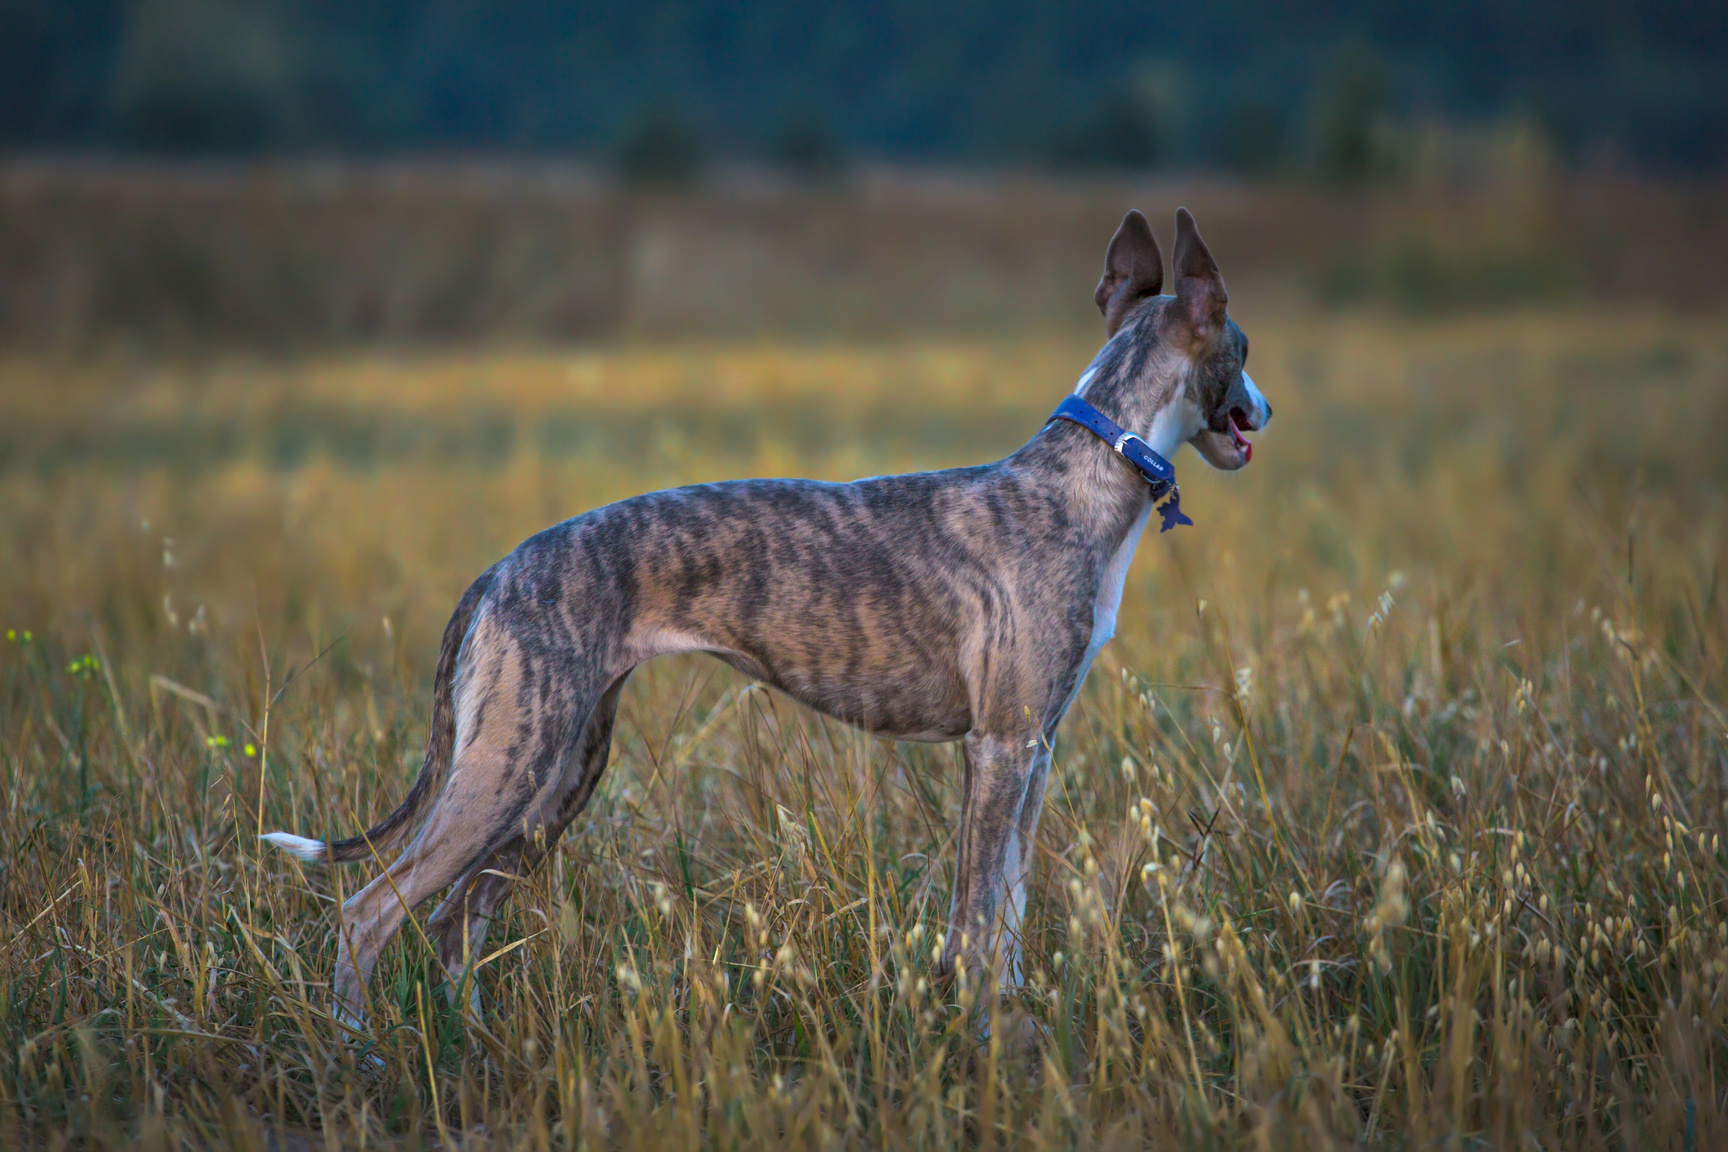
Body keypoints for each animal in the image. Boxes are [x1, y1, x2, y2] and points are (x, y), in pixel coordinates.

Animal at [266, 202, 1271, 1022]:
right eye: (1248, 347)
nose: (1263, 411)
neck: (1089, 469)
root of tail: (497, 573)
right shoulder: (1000, 749)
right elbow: (976, 923)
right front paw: (979, 1036)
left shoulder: (1035, 750)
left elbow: (1010, 919)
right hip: (507, 766)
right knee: (367, 914)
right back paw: (361, 1057)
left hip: (557, 777)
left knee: (455, 918)